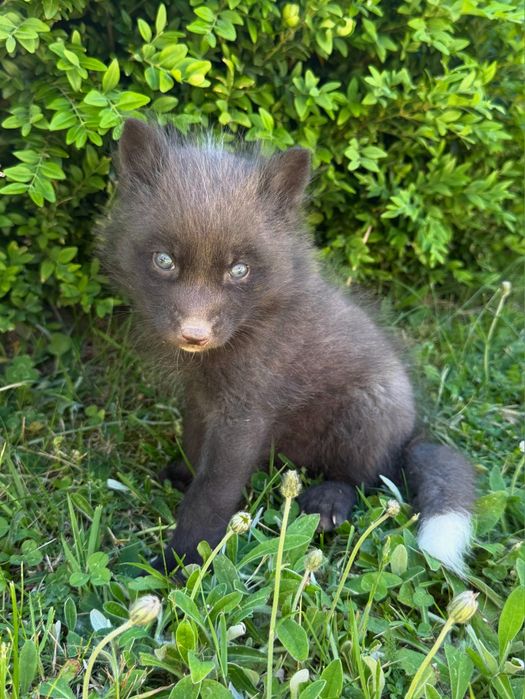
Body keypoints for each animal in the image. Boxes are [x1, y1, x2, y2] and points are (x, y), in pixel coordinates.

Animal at [100, 118, 475, 577]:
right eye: (164, 261)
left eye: (239, 270)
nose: (194, 335)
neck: (253, 323)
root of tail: (411, 436)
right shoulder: (201, 396)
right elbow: (193, 442)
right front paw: (182, 473)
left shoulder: (246, 411)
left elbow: (212, 493)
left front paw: (182, 561)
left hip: (366, 414)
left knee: (363, 478)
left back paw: (328, 503)